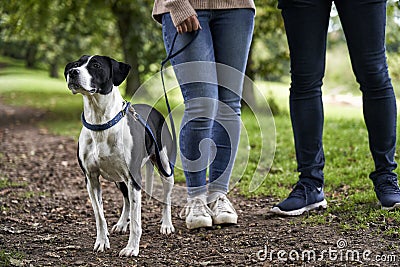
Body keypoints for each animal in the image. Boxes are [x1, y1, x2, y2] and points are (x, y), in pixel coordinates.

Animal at [63, 55, 173, 258]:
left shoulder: (134, 179)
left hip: (164, 167)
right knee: (126, 200)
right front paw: (101, 241)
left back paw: (167, 225)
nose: (73, 72)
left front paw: (132, 248)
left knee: (166, 198)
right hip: (119, 179)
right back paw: (122, 223)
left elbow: (136, 222)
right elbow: (99, 215)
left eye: (96, 65)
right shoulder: (91, 179)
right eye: (76, 64)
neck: (100, 122)